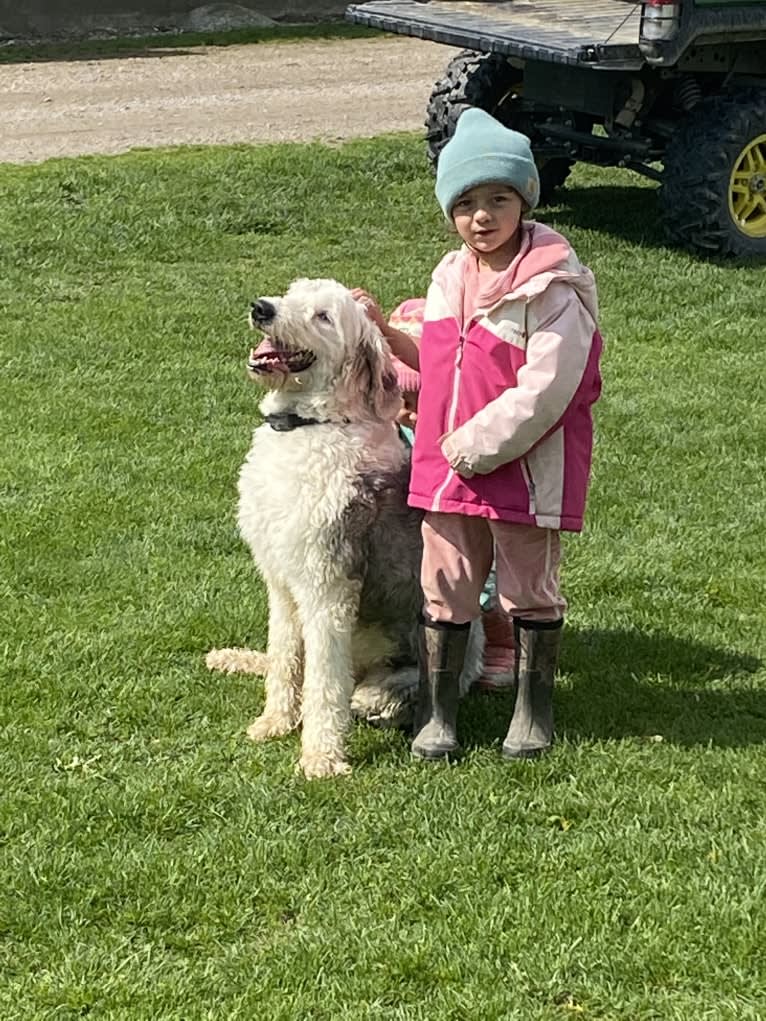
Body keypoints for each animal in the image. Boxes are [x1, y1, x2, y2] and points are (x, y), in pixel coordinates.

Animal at [207, 275, 482, 775]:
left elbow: (323, 682)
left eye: (323, 316)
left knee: (368, 694)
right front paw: (274, 722)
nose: (262, 308)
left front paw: (320, 758)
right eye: (291, 293)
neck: (307, 425)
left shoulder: (327, 587)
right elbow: (284, 657)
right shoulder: (281, 582)